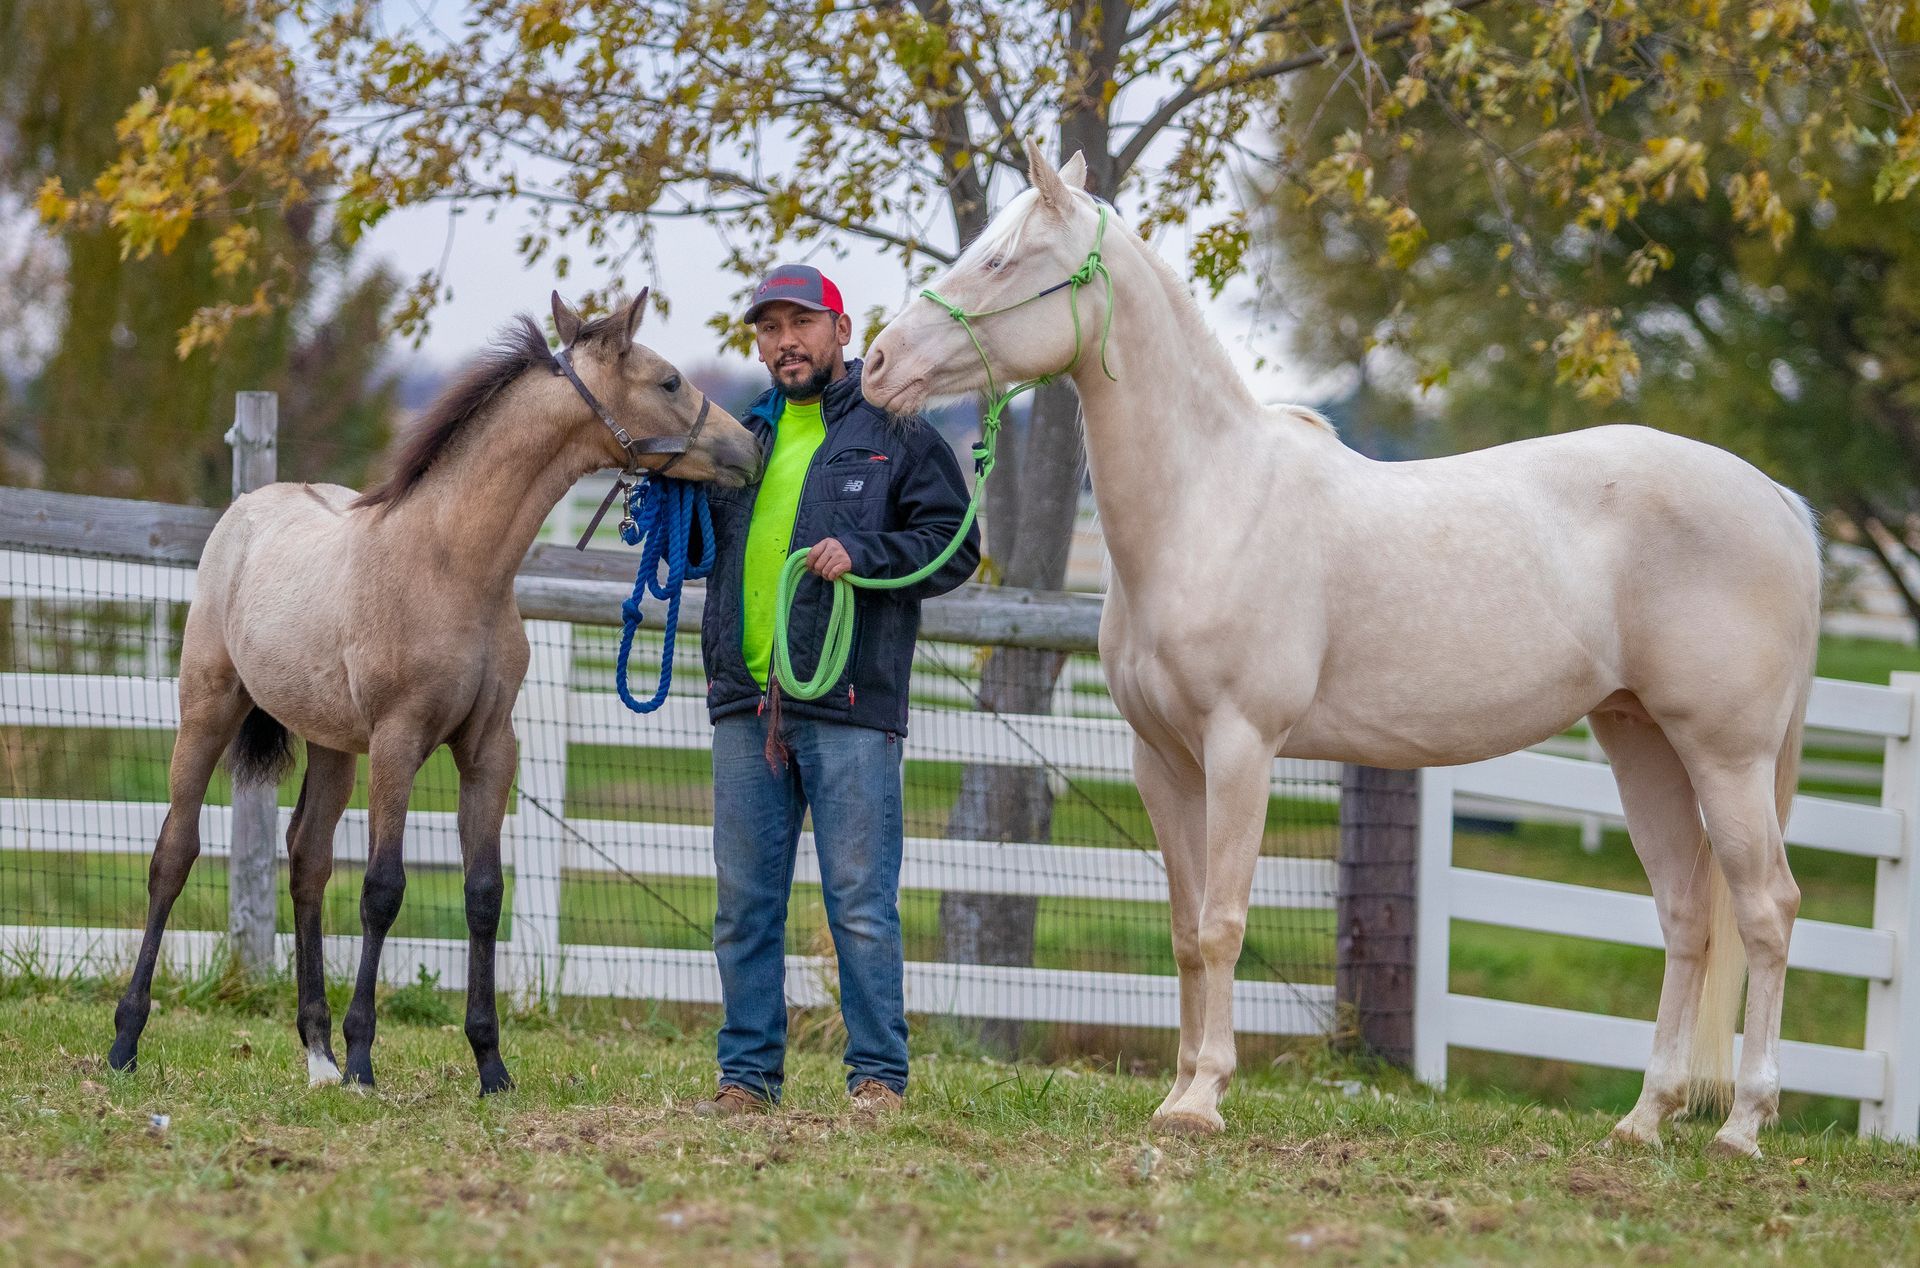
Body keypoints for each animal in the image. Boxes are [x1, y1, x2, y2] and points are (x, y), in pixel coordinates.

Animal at [108, 291, 762, 1095]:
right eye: (668, 380)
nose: (749, 451)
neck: (455, 565)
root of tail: (245, 510)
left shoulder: (488, 748)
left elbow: (483, 893)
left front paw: (490, 1063)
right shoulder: (401, 740)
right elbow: (384, 888)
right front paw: (364, 1058)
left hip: (332, 744)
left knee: (306, 859)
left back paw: (317, 1054)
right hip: (209, 709)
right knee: (175, 853)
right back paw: (129, 1040)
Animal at [861, 140, 1820, 1159]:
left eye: (1003, 261)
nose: (876, 364)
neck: (1208, 504)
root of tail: (1780, 503)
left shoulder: (1243, 747)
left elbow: (1224, 922)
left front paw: (1205, 1098)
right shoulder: (1163, 761)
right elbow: (1183, 929)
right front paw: (1176, 1090)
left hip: (1726, 754)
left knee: (1766, 910)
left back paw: (1743, 1124)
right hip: (1642, 742)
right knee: (1686, 915)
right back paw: (1645, 1119)